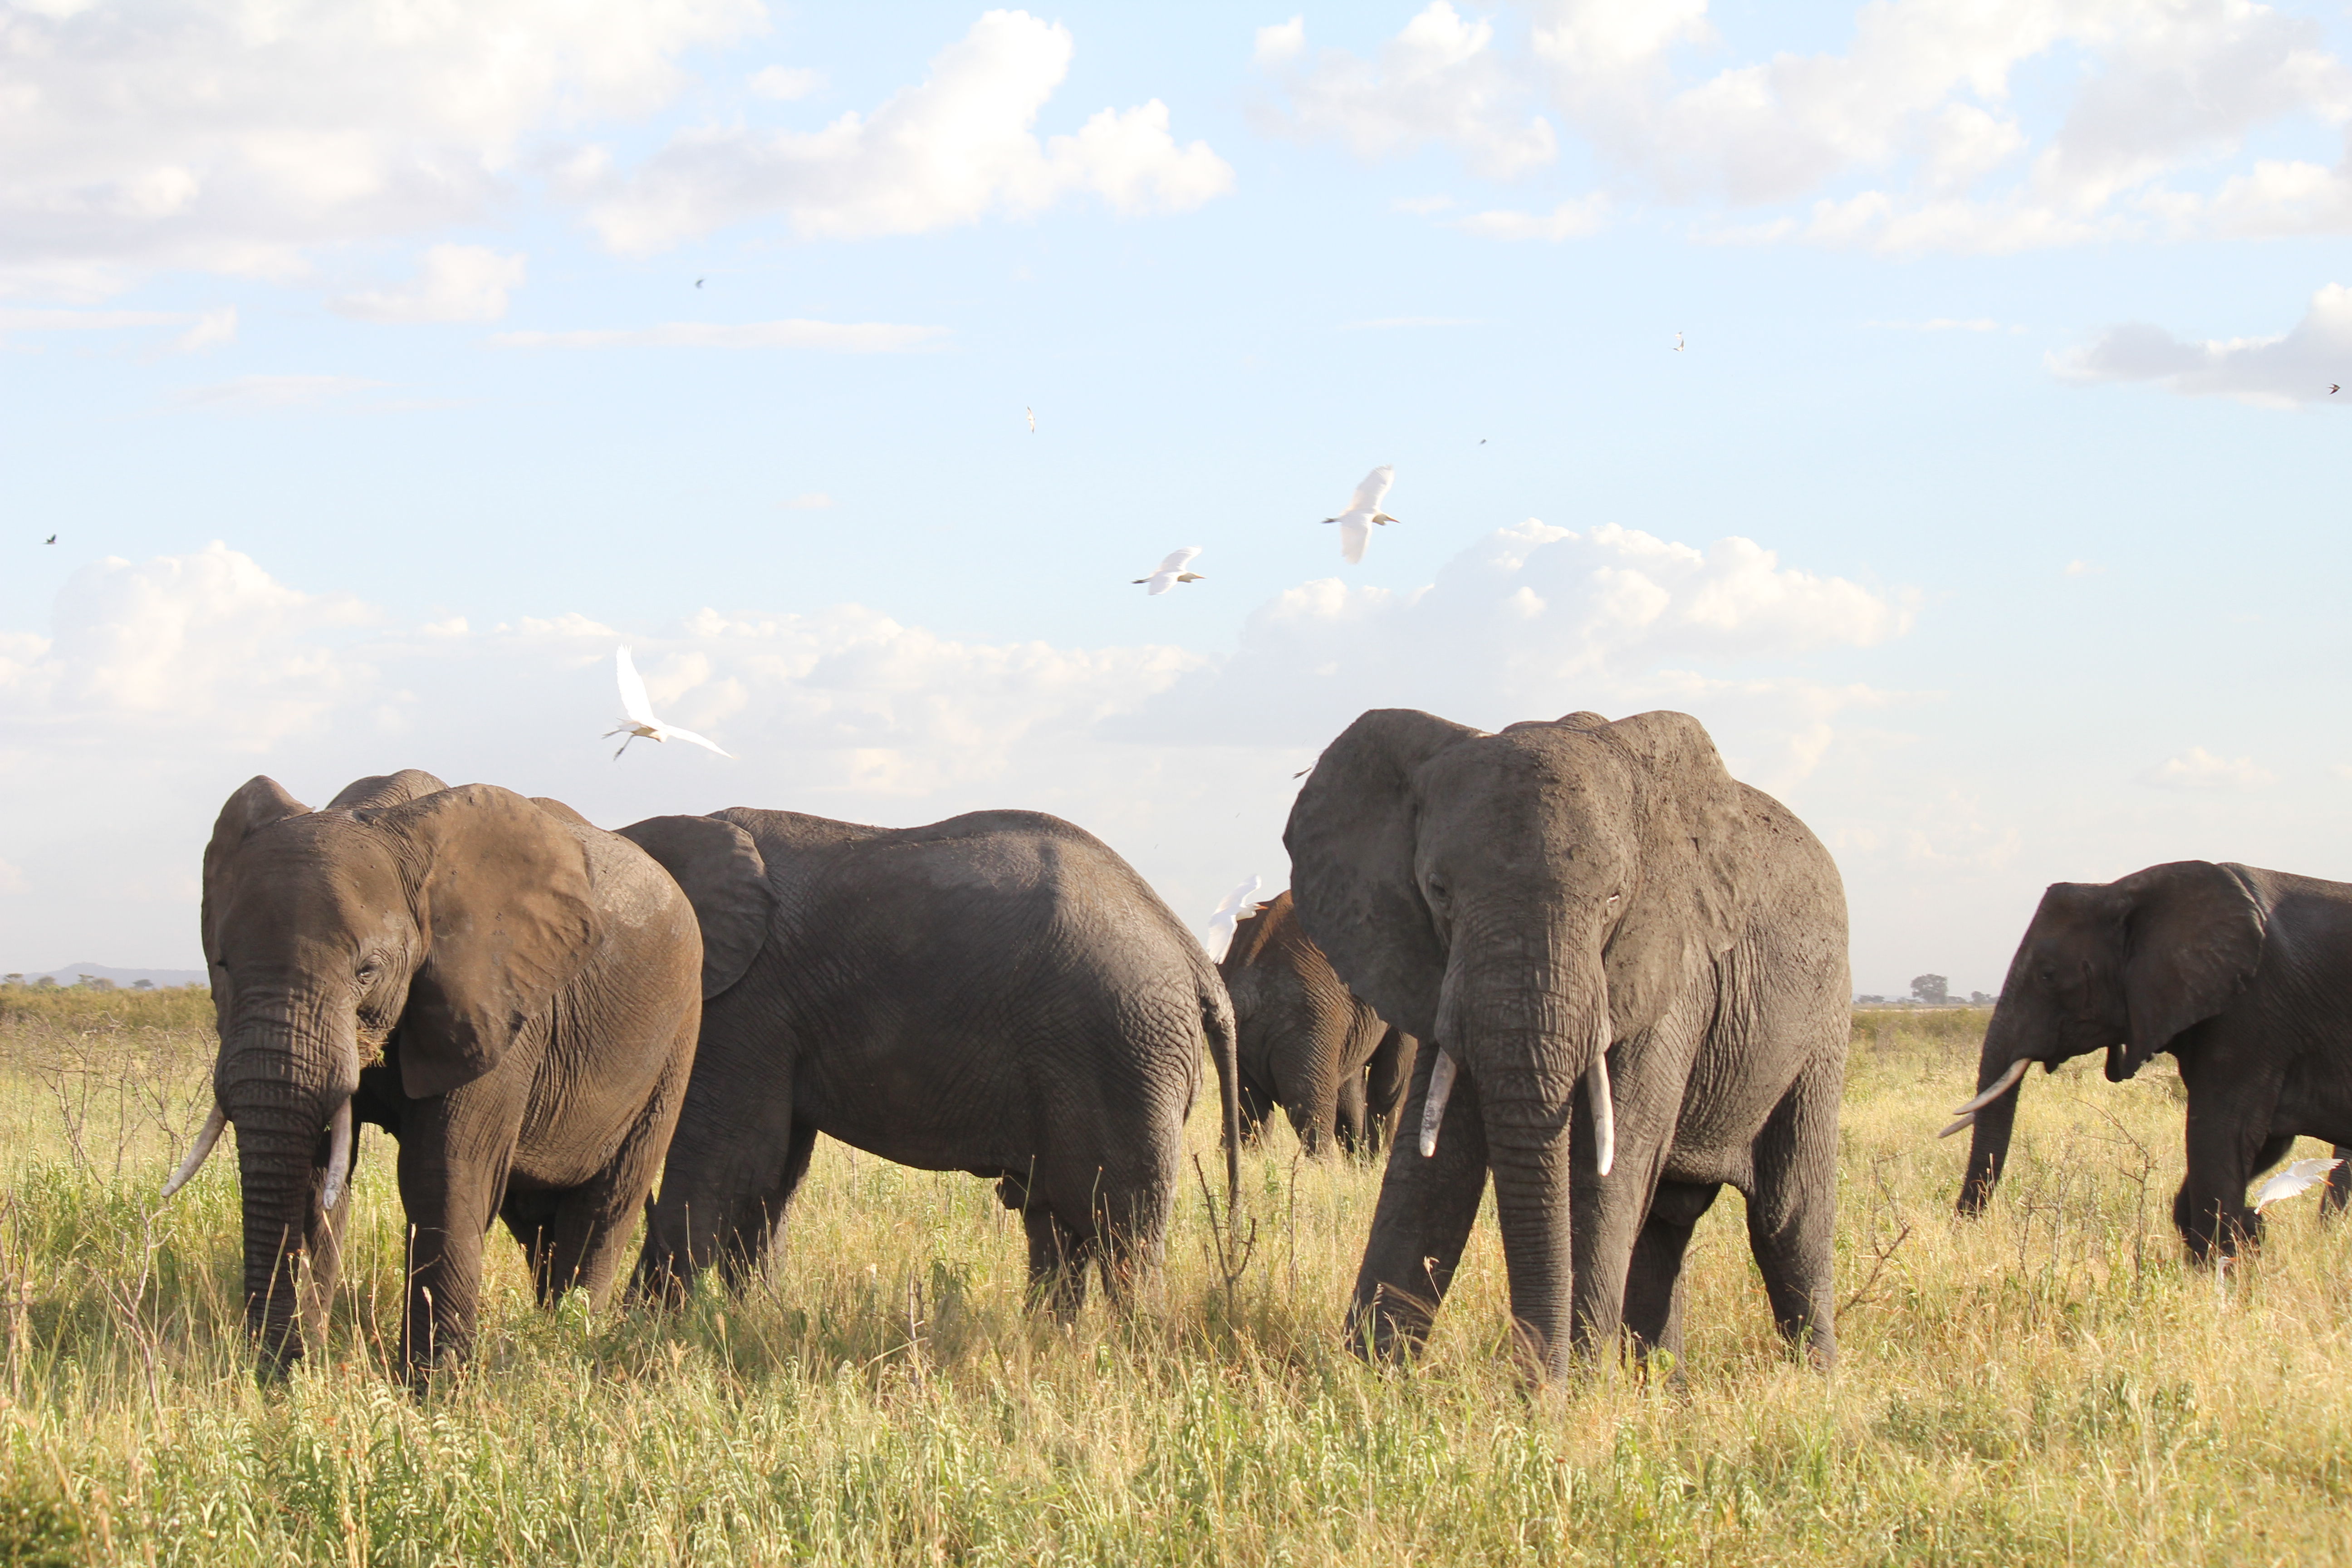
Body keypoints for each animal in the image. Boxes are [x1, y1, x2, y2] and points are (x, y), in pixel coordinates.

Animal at [172, 769, 703, 1380]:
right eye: (223, 964)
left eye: (367, 971)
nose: (274, 1370)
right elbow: (315, 1173)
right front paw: (301, 1376)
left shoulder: (497, 1002)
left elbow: (444, 1172)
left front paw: (434, 1389)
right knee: (536, 1217)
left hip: (676, 1037)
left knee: (605, 1206)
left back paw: (569, 1340)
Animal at [619, 806, 1240, 1316]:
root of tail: (1195, 959)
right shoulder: (774, 1015)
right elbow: (770, 1177)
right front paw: (752, 1325)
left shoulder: (748, 1000)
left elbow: (728, 1164)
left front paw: (636, 1342)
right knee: (1058, 1228)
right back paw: (1048, 1344)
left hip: (1121, 1050)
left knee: (1119, 1229)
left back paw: (1135, 1345)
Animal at [1219, 890, 1419, 1156]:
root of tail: (1244, 986)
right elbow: (1391, 1082)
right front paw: (1373, 1164)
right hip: (1306, 1025)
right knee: (1310, 1111)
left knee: (1247, 1109)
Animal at [1286, 708, 1850, 1381]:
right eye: (1438, 890)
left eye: (1614, 896)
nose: (1532, 1382)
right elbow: (1434, 1166)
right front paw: (1369, 1380)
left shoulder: (1671, 963)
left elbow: (1606, 1166)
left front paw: (1575, 1388)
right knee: (1667, 1223)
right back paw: (1663, 1386)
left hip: (1823, 1023)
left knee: (1788, 1217)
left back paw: (1815, 1383)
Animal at [1948, 860, 2352, 1258]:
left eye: (2048, 975)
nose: (1959, 1232)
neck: (2124, 890)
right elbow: (2265, 1143)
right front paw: (2249, 1233)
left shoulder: (2253, 1010)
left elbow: (2223, 1134)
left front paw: (2222, 1261)